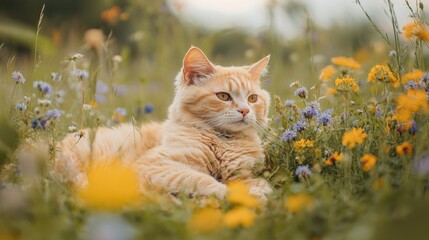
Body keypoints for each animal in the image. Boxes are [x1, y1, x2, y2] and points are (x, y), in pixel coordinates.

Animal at [51, 46, 272, 201]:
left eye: (252, 98)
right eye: (224, 96)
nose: (245, 110)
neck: (223, 140)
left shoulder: (243, 173)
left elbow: (261, 185)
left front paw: (258, 196)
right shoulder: (156, 164)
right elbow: (199, 179)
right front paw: (228, 193)